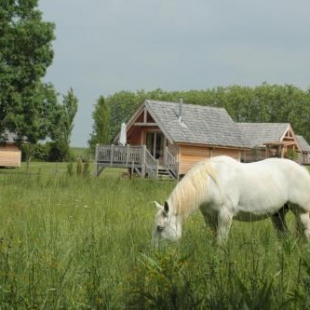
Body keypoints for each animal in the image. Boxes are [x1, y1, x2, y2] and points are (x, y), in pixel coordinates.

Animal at [152, 155, 310, 245]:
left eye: (160, 228)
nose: (154, 252)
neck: (212, 182)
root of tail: (303, 170)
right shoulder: (210, 217)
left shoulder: (225, 215)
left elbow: (221, 241)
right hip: (278, 214)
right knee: (285, 235)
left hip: (303, 213)